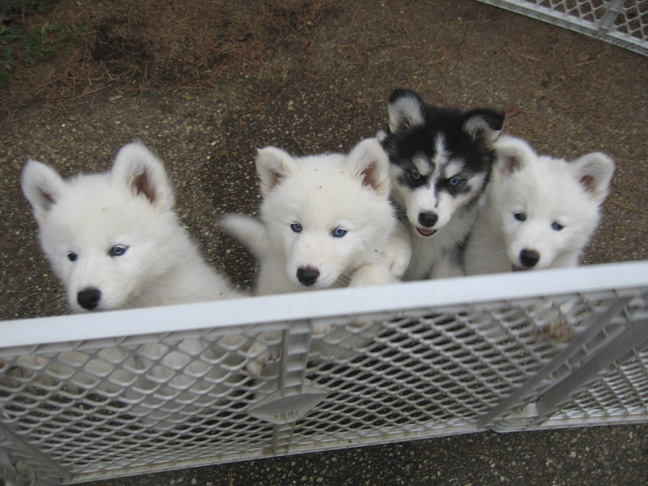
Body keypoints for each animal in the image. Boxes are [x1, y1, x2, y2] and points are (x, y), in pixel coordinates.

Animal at [380, 90, 506, 280]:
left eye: (454, 181)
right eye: (415, 175)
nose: (428, 219)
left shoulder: (457, 242)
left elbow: (447, 271)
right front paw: (395, 248)